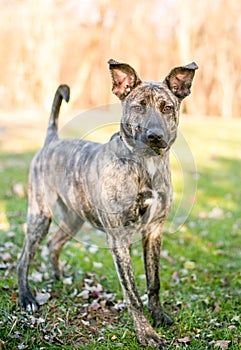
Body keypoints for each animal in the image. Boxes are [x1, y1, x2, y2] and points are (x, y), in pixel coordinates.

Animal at [17, 58, 198, 348]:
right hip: (40, 215)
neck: (145, 162)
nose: (155, 136)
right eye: (138, 106)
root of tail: (52, 141)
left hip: (74, 217)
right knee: (24, 258)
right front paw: (146, 333)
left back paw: (58, 277)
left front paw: (159, 316)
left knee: (54, 243)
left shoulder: (153, 231)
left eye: (167, 108)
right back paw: (27, 298)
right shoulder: (119, 237)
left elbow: (154, 282)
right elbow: (133, 293)